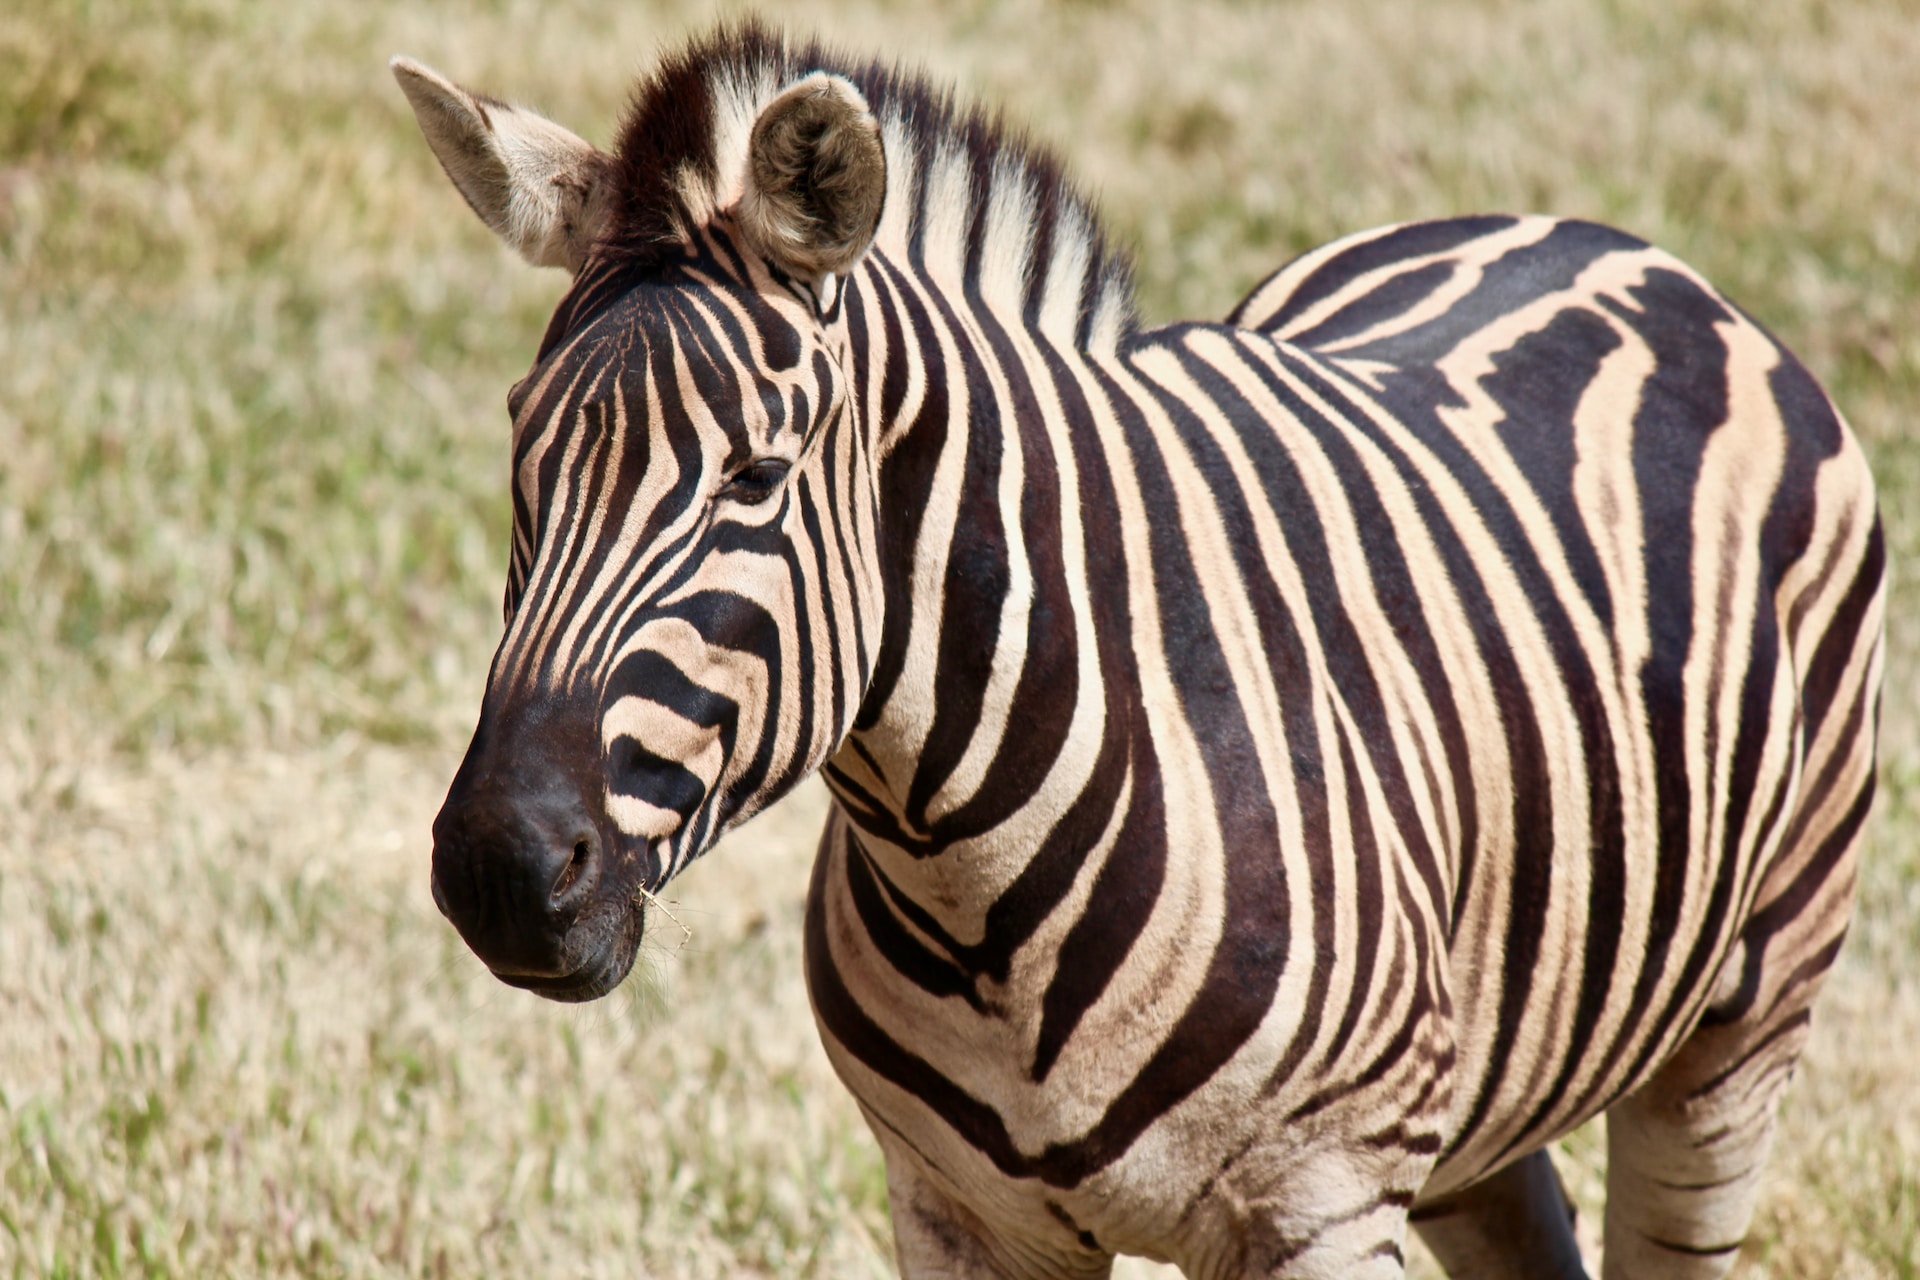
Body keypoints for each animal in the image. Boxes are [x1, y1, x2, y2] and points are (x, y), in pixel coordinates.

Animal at [397, 22, 1881, 1280]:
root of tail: (1600, 239)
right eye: (522, 464)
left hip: (1740, 1027)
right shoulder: (962, 1218)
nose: (500, 869)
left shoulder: (1323, 1208)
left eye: (754, 478)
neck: (977, 882)